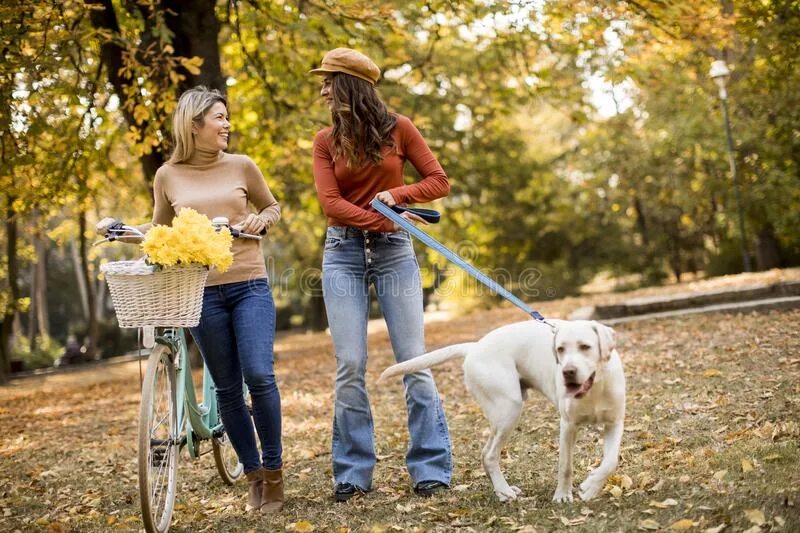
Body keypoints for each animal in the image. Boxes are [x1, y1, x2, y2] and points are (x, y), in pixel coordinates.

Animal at [380, 320, 624, 502]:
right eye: (560, 350)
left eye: (585, 347)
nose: (568, 371)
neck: (595, 389)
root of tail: (475, 346)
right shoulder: (567, 426)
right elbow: (566, 465)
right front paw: (563, 495)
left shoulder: (615, 424)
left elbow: (610, 462)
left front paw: (591, 487)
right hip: (509, 409)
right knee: (489, 455)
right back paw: (504, 491)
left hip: (503, 414)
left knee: (486, 454)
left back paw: (500, 490)